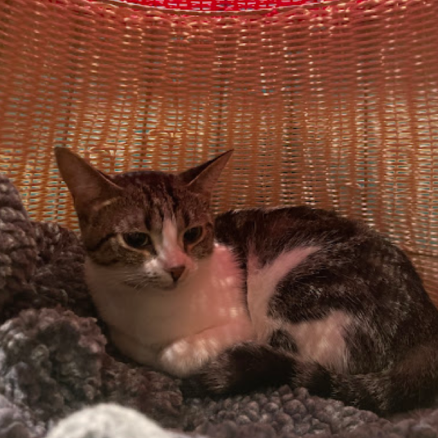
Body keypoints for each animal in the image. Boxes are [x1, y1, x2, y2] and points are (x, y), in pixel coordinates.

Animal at [55, 147, 438, 414]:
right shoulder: (116, 323)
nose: (177, 268)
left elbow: (172, 356)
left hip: (302, 289)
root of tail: (426, 323)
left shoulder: (244, 324)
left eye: (192, 234)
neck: (150, 309)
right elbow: (130, 343)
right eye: (136, 239)